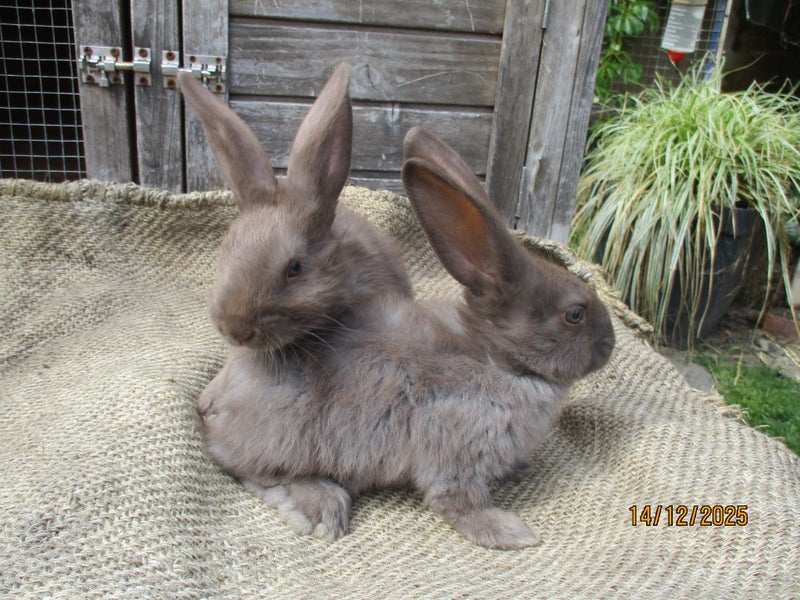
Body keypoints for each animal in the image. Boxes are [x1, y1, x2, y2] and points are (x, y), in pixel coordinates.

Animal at [198, 126, 616, 549]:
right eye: (575, 314)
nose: (609, 344)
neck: (500, 361)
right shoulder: (454, 455)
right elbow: (459, 502)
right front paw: (512, 532)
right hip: (286, 443)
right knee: (248, 469)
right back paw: (321, 507)